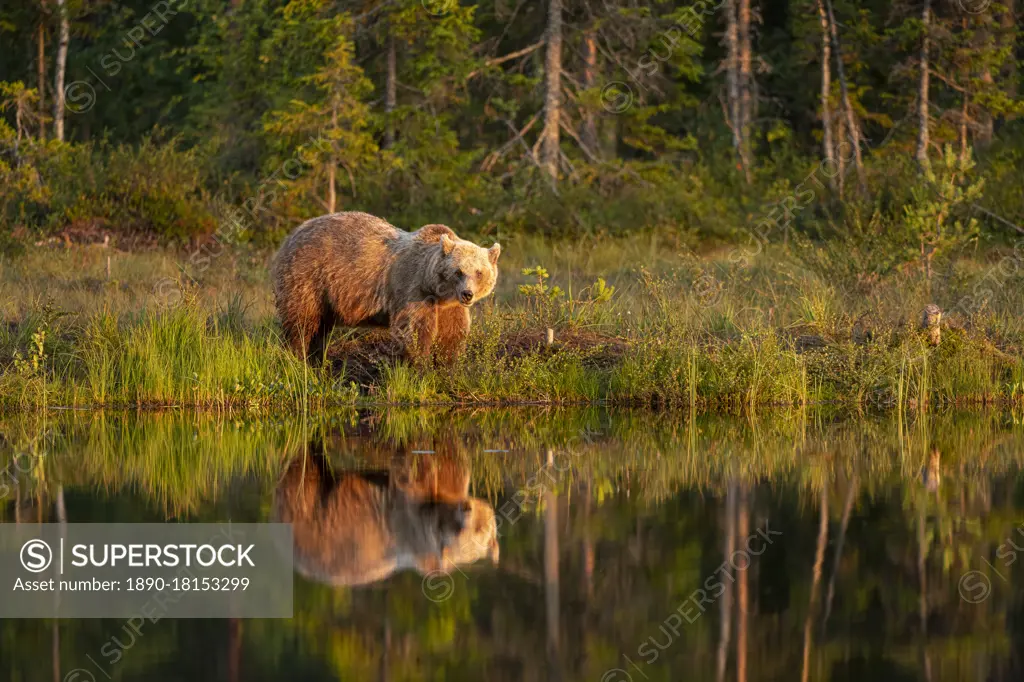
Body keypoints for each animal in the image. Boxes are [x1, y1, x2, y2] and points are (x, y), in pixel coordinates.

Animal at [268, 210, 499, 360]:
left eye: (479, 272)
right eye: (458, 271)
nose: (467, 294)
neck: (437, 291)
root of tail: (292, 234)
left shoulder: (450, 306)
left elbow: (453, 334)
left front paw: (447, 365)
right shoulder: (412, 290)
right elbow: (415, 331)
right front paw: (419, 365)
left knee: (320, 328)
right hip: (308, 275)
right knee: (302, 322)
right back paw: (298, 357)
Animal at [270, 446, 497, 585]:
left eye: (480, 529)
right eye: (459, 530)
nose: (466, 508)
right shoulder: (409, 515)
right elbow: (417, 469)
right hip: (310, 513)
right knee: (304, 472)